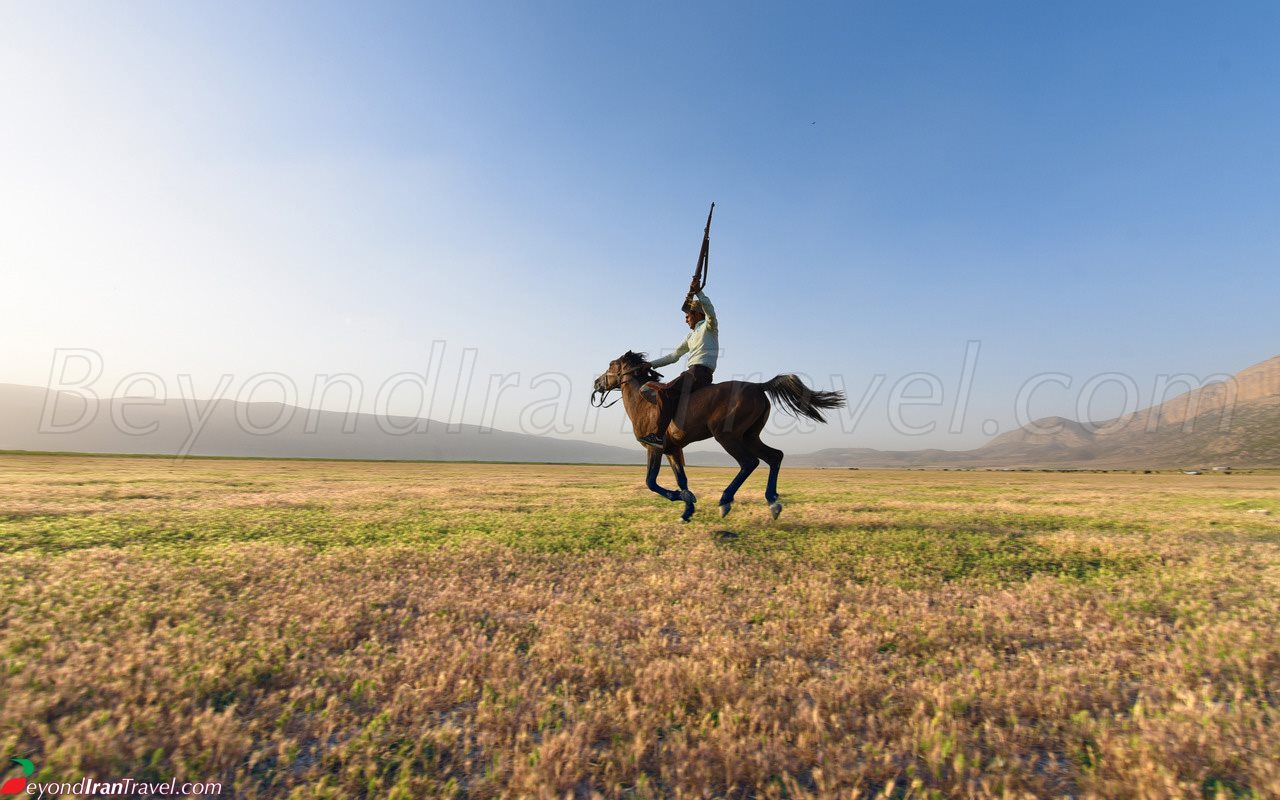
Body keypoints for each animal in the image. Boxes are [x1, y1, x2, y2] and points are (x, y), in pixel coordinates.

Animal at [592, 351, 846, 521]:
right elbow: (682, 480)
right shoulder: (673, 449)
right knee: (775, 456)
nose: (596, 383)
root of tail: (758, 386)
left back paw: (725, 501)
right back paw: (773, 502)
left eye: (611, 364)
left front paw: (683, 499)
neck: (644, 403)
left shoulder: (654, 448)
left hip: (727, 436)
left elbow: (651, 482)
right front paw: (687, 508)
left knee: (750, 462)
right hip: (750, 436)